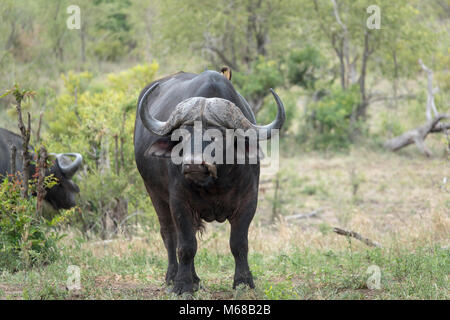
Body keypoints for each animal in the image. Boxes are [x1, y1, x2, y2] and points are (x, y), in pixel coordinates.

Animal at [135, 69, 286, 292]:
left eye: (219, 135)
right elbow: (186, 246)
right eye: (182, 136)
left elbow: (239, 244)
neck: (215, 183)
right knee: (170, 235)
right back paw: (174, 276)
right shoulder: (179, 202)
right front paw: (182, 285)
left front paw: (243, 281)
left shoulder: (248, 201)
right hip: (153, 192)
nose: (194, 164)